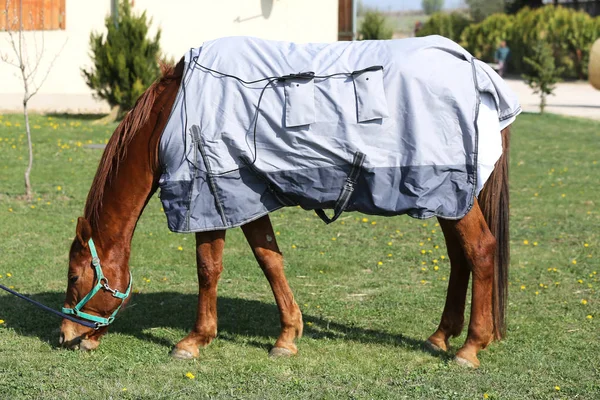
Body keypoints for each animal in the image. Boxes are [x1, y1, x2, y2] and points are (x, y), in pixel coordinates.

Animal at [61, 59, 510, 368]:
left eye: (73, 276)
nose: (68, 334)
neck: (173, 115)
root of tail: (479, 73)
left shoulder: (206, 196)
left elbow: (208, 267)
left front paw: (194, 340)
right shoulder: (244, 196)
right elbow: (269, 260)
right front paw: (288, 336)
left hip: (452, 196)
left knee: (481, 251)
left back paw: (471, 346)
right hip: (449, 199)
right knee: (460, 259)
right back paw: (441, 335)